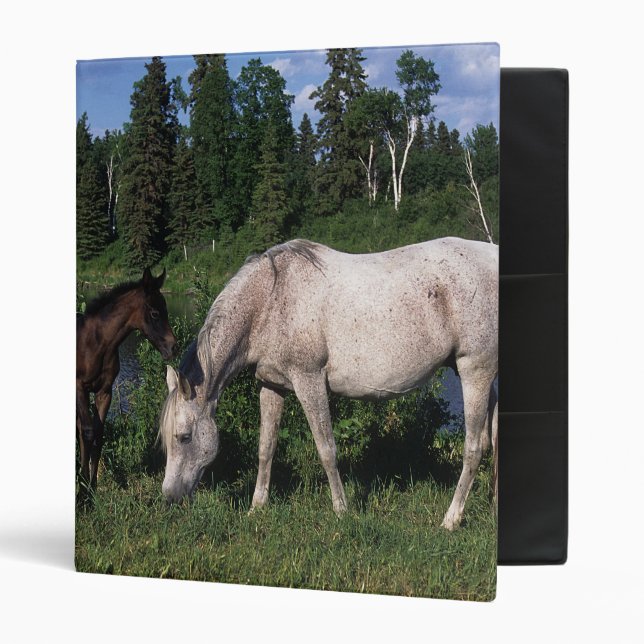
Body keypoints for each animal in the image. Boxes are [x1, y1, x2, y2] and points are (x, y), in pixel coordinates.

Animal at [76, 268, 177, 499]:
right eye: (155, 313)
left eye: (166, 309)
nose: (173, 347)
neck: (97, 343)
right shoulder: (79, 388)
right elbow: (86, 431)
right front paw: (83, 492)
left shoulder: (105, 392)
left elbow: (98, 433)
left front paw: (92, 486)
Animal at [159, 238, 498, 530]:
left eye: (184, 437)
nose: (170, 498)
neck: (270, 299)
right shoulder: (272, 387)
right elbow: (266, 448)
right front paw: (257, 507)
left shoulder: (309, 381)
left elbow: (326, 449)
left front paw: (341, 510)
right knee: (493, 437)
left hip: (475, 370)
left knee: (474, 447)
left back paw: (451, 519)